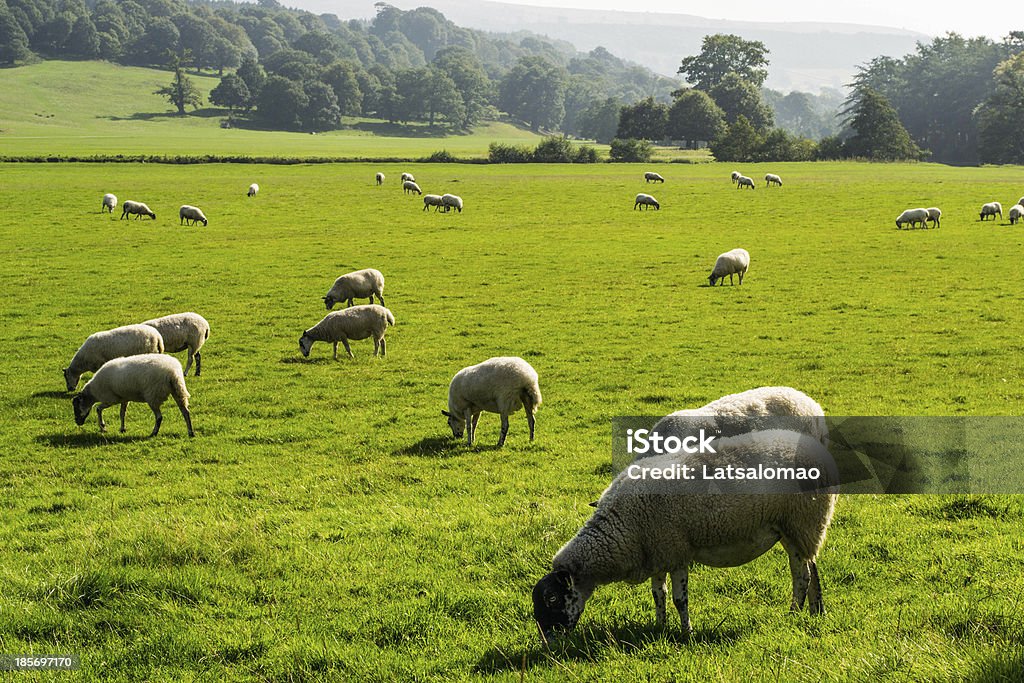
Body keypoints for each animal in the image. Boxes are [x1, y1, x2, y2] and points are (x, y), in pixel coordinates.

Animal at [532, 428, 835, 643]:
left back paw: (793, 613)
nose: (549, 642)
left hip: (803, 519)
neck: (623, 526)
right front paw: (659, 626)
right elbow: (658, 594)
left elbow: (680, 599)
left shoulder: (676, 550)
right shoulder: (656, 553)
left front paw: (686, 633)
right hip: (793, 528)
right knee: (809, 567)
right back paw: (814, 611)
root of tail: (816, 448)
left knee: (802, 575)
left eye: (552, 598)